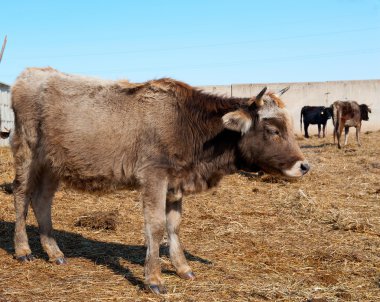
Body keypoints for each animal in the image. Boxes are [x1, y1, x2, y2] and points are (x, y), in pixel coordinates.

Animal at [11, 67, 308, 294]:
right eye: (273, 130)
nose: (304, 166)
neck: (186, 123)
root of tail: (31, 73)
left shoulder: (175, 183)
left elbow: (174, 225)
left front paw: (183, 267)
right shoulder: (154, 176)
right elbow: (155, 227)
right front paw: (154, 279)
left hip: (53, 164)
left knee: (42, 200)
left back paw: (54, 252)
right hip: (27, 151)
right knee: (21, 196)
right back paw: (23, 249)